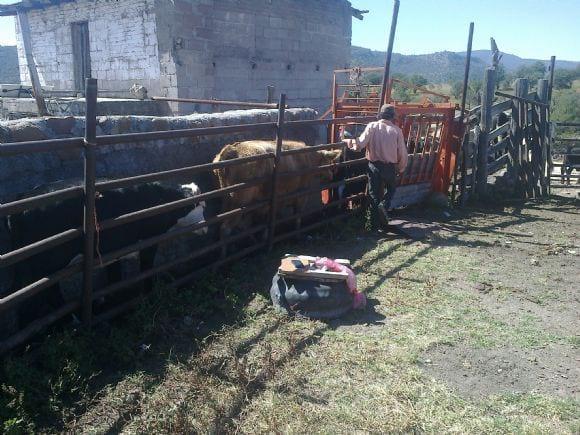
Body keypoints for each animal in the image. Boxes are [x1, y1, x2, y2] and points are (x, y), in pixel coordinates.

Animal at [212, 141, 340, 233]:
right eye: (329, 161)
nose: (331, 175)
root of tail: (232, 149)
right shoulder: (301, 194)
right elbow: (297, 215)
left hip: (226, 198)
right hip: (240, 201)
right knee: (226, 227)